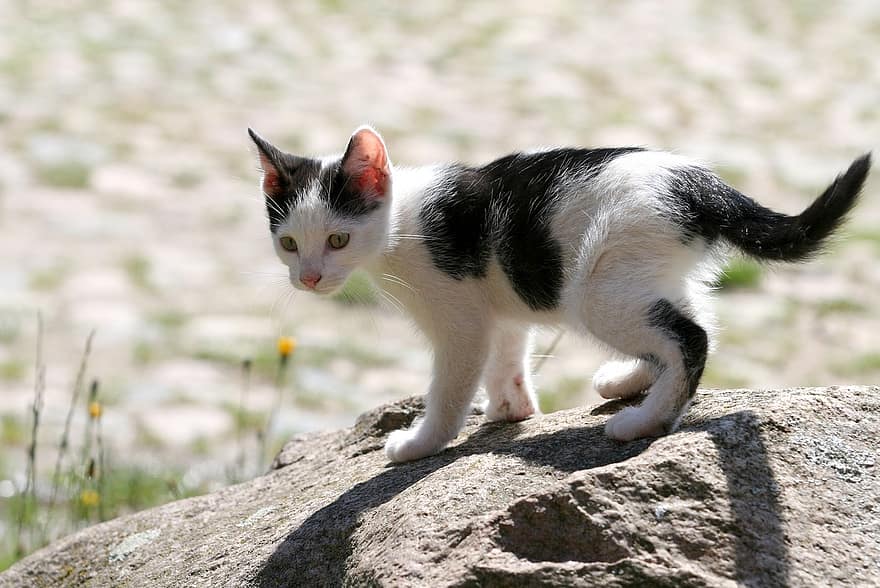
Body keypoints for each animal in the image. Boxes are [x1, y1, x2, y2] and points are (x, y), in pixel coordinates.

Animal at [248, 125, 868, 464]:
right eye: (288, 243)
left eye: (337, 239)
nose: (309, 277)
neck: (401, 224)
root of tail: (696, 182)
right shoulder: (497, 309)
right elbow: (506, 357)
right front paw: (510, 409)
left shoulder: (460, 318)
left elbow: (450, 385)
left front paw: (422, 442)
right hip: (641, 272)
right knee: (695, 321)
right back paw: (631, 382)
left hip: (597, 284)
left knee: (691, 337)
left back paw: (645, 421)